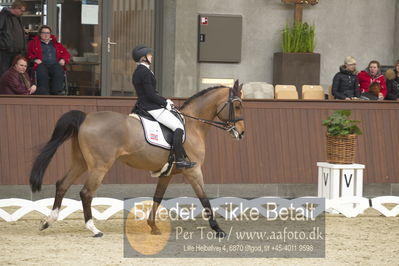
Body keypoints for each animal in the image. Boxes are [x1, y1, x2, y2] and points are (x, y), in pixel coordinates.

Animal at [29, 79, 245, 237]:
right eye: (237, 105)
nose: (241, 133)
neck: (192, 127)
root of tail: (86, 117)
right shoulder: (193, 170)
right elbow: (204, 198)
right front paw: (217, 229)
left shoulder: (167, 174)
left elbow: (157, 197)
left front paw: (153, 227)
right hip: (99, 166)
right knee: (86, 193)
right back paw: (94, 229)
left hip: (80, 162)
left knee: (62, 184)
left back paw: (48, 221)